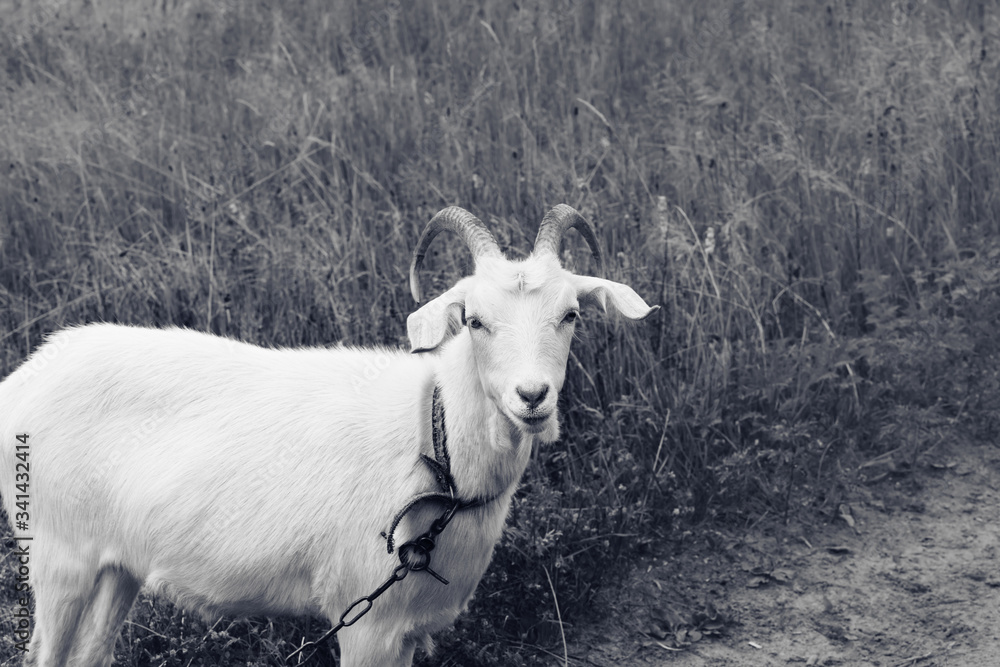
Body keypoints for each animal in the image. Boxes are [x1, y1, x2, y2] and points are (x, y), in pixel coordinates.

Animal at [0, 205, 657, 667]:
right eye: (474, 320)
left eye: (571, 315)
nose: (532, 397)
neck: (432, 433)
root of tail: (24, 378)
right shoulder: (367, 621)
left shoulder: (405, 627)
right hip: (58, 554)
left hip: (119, 564)